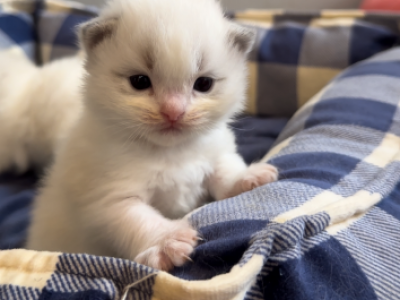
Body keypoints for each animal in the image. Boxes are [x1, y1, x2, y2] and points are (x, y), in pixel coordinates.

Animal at [24, 0, 278, 270]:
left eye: (204, 84)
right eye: (139, 81)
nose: (173, 112)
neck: (171, 151)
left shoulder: (216, 153)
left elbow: (226, 170)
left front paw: (247, 177)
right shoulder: (108, 198)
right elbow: (136, 219)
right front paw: (166, 242)